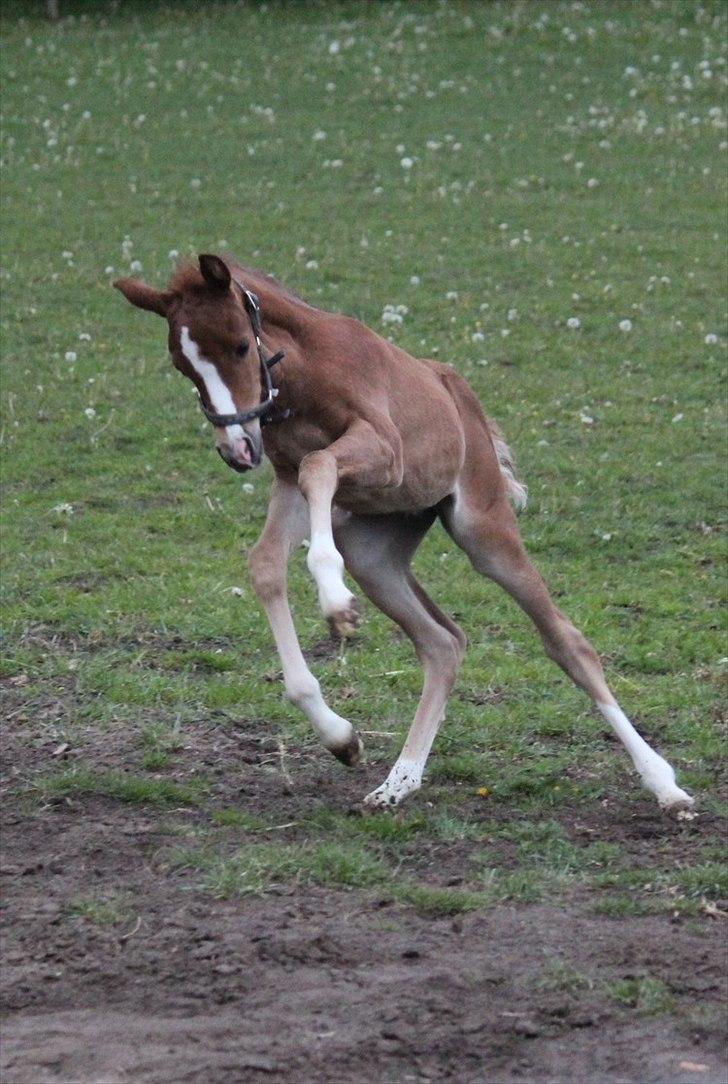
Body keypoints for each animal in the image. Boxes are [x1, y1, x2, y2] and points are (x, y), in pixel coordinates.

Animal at [115, 255, 693, 815]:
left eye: (239, 344)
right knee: (443, 643)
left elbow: (320, 467)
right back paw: (399, 782)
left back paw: (665, 786)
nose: (236, 449)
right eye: (181, 364)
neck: (305, 373)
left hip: (483, 530)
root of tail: (460, 394)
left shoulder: (383, 452)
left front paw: (336, 602)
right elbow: (265, 563)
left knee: (566, 642)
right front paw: (342, 738)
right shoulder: (286, 477)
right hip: (375, 552)